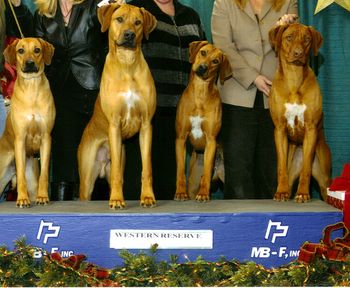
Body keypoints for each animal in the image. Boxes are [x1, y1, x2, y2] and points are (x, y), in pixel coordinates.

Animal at [0, 37, 54, 207]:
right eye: (21, 50)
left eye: (37, 50)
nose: (30, 63)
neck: (32, 89)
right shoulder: (20, 139)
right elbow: (21, 175)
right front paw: (22, 199)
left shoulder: (46, 138)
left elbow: (44, 174)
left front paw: (43, 197)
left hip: (31, 179)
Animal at [78, 3, 157, 208]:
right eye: (119, 19)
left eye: (138, 22)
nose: (129, 35)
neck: (127, 65)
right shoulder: (114, 125)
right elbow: (115, 176)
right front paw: (116, 200)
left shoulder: (147, 125)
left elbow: (147, 168)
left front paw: (147, 197)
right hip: (87, 174)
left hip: (121, 157)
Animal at [174, 41, 230, 202]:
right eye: (203, 52)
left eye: (216, 61)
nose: (203, 67)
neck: (200, 94)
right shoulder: (180, 138)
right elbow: (180, 170)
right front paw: (180, 193)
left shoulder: (211, 141)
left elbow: (206, 171)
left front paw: (204, 194)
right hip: (193, 181)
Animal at [268, 23, 330, 202]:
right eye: (289, 37)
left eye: (307, 39)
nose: (298, 53)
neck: (294, 80)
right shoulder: (280, 130)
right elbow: (281, 166)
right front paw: (280, 192)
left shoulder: (311, 129)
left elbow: (306, 169)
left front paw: (303, 193)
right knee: (288, 177)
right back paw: (284, 191)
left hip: (324, 177)